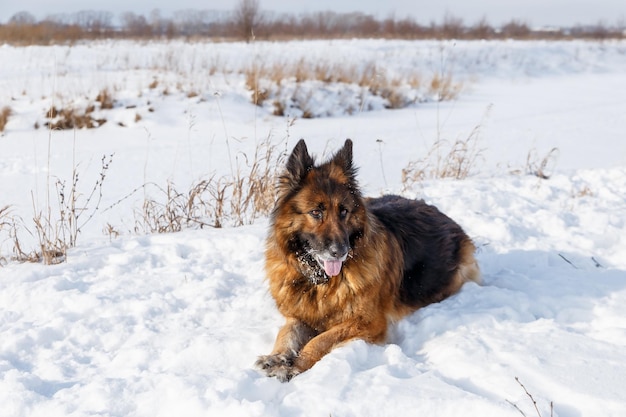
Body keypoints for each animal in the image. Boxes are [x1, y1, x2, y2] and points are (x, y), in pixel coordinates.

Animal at [254, 139, 478, 380]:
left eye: (344, 211)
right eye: (315, 212)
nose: (340, 251)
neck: (320, 283)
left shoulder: (368, 322)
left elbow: (320, 340)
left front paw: (295, 365)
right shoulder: (299, 316)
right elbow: (286, 334)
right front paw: (277, 357)